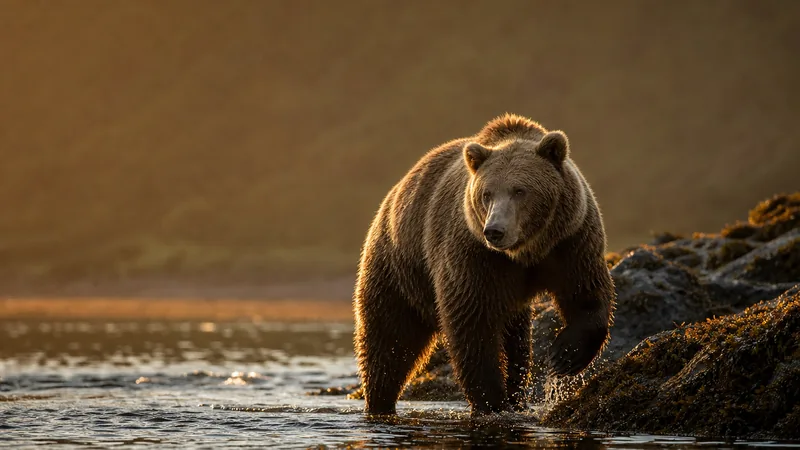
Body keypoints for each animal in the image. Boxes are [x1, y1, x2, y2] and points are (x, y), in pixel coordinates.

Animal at [352, 113, 616, 416]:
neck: (526, 251)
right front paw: (491, 401)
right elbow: (472, 324)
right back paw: (379, 403)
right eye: (487, 194)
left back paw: (517, 395)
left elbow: (585, 292)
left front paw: (564, 356)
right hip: (398, 266)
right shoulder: (474, 256)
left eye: (520, 190)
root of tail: (394, 193)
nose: (495, 231)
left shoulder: (571, 241)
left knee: (517, 342)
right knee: (389, 339)